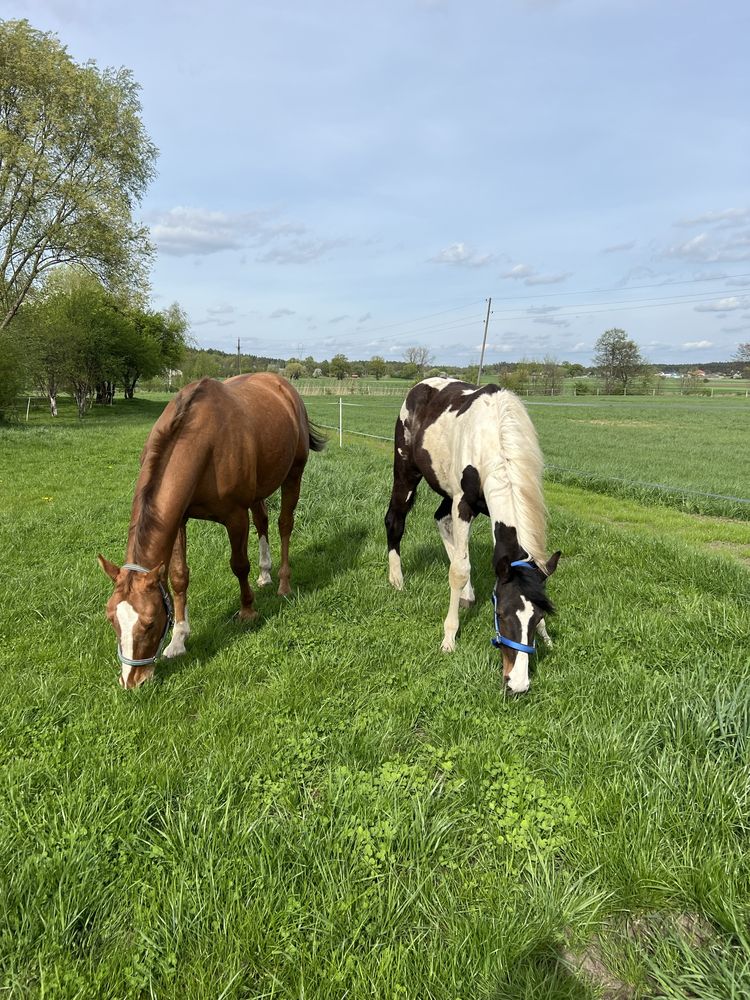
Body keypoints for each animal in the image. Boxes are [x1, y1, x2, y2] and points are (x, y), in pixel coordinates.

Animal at [97, 374, 326, 688]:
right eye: (112, 619)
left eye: (151, 622)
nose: (132, 681)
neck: (203, 442)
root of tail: (284, 387)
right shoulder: (180, 519)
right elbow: (179, 577)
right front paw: (178, 640)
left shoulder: (235, 516)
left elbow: (239, 565)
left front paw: (247, 611)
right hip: (259, 490)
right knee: (263, 521)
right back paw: (265, 574)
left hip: (293, 474)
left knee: (284, 525)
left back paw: (283, 583)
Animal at [388, 376, 560, 696]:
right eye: (501, 614)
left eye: (539, 617)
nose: (517, 684)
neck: (495, 435)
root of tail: (422, 385)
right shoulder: (463, 503)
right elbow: (458, 570)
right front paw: (449, 639)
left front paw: (546, 638)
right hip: (406, 471)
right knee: (395, 520)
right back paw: (396, 580)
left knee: (441, 520)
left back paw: (467, 594)